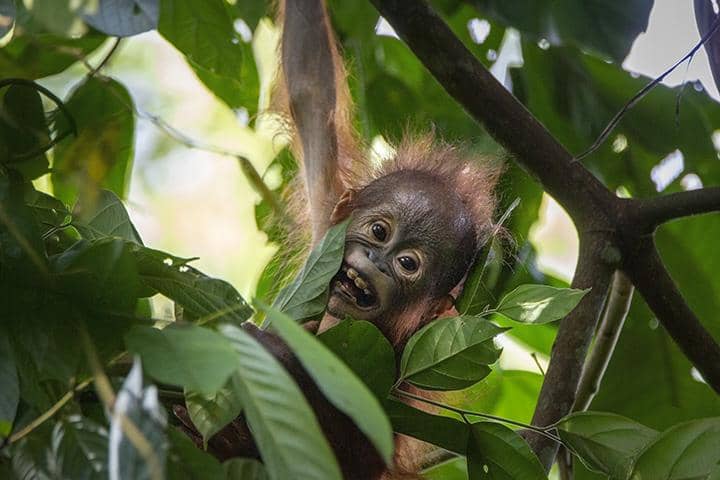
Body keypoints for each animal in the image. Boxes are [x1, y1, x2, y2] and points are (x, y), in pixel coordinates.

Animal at [174, 0, 499, 478]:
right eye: (379, 231)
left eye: (407, 264)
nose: (376, 264)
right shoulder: (330, 219)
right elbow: (311, 94)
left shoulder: (398, 360)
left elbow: (360, 446)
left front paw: (268, 349)